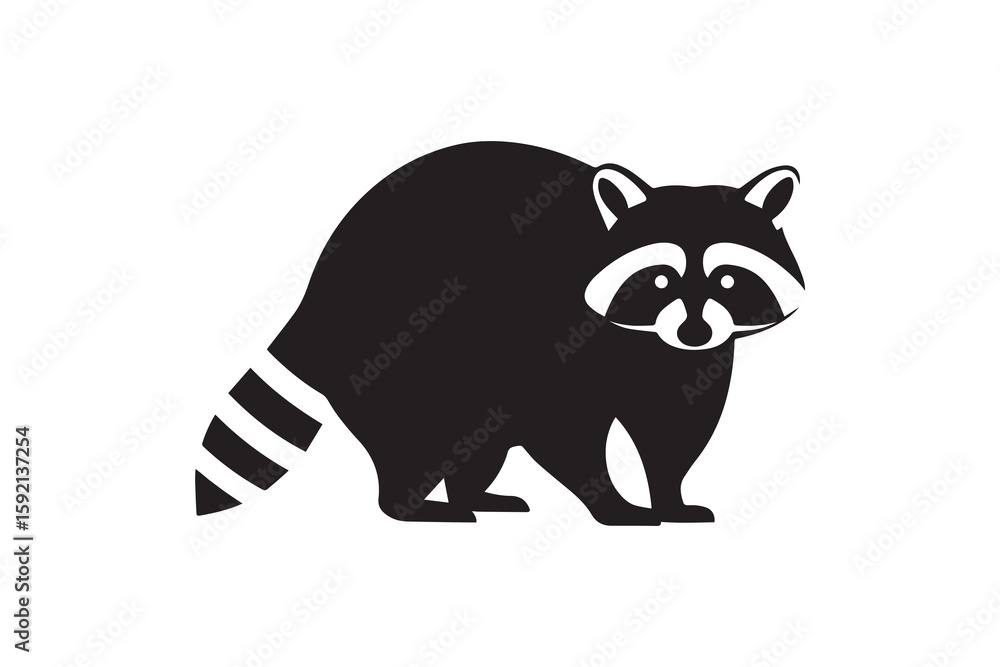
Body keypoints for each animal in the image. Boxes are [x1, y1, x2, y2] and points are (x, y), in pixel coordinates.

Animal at [195, 142, 805, 525]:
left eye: (728, 278)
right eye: (659, 278)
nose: (694, 329)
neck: (646, 340)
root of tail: (315, 293)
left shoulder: (684, 359)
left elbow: (675, 425)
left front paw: (669, 497)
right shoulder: (554, 335)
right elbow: (566, 431)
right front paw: (611, 503)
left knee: (477, 439)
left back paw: (474, 494)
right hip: (392, 350)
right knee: (411, 435)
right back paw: (414, 505)